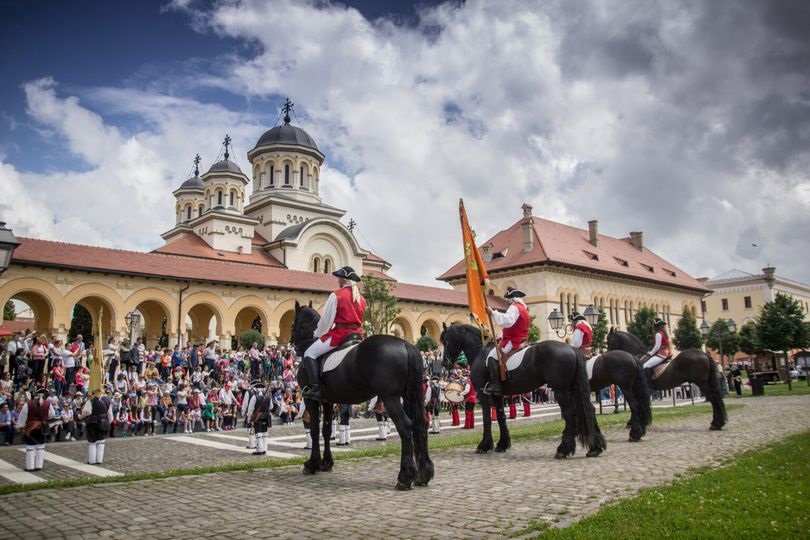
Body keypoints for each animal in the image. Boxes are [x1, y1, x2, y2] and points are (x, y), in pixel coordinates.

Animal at [288, 302, 432, 492]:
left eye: (293, 323)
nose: (293, 345)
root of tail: (405, 345)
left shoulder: (311, 399)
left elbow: (313, 429)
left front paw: (312, 464)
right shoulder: (327, 401)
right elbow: (326, 430)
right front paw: (326, 463)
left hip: (390, 398)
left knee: (405, 425)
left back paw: (404, 477)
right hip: (408, 396)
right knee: (419, 424)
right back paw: (424, 475)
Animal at [438, 322, 604, 458]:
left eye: (446, 341)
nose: (445, 363)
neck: (480, 352)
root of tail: (572, 348)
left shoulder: (482, 393)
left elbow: (486, 419)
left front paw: (484, 445)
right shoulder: (497, 395)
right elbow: (501, 417)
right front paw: (502, 444)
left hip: (561, 391)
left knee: (570, 414)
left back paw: (563, 449)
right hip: (574, 389)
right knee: (588, 409)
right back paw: (595, 447)